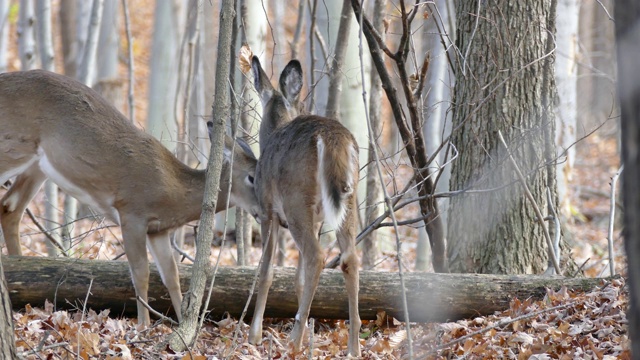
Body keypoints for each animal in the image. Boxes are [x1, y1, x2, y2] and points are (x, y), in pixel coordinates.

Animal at [0, 69, 262, 326]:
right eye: (252, 177)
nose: (262, 211)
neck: (174, 190)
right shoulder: (133, 212)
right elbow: (140, 273)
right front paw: (143, 326)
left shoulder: (158, 230)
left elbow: (172, 276)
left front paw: (183, 325)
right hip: (14, 146)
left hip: (37, 166)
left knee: (10, 208)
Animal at [249, 57, 362, 358]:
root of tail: (333, 138)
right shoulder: (318, 219)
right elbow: (298, 278)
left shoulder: (267, 210)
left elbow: (266, 271)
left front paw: (254, 335)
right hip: (348, 201)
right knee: (349, 258)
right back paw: (353, 346)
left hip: (296, 199)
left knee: (317, 255)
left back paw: (295, 341)